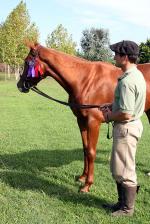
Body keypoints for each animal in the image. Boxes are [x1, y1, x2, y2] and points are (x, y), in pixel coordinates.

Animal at [17, 43, 150, 192]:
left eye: (27, 61)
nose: (20, 85)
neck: (85, 80)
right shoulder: (81, 120)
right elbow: (85, 149)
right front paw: (82, 177)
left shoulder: (93, 122)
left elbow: (91, 152)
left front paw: (87, 184)